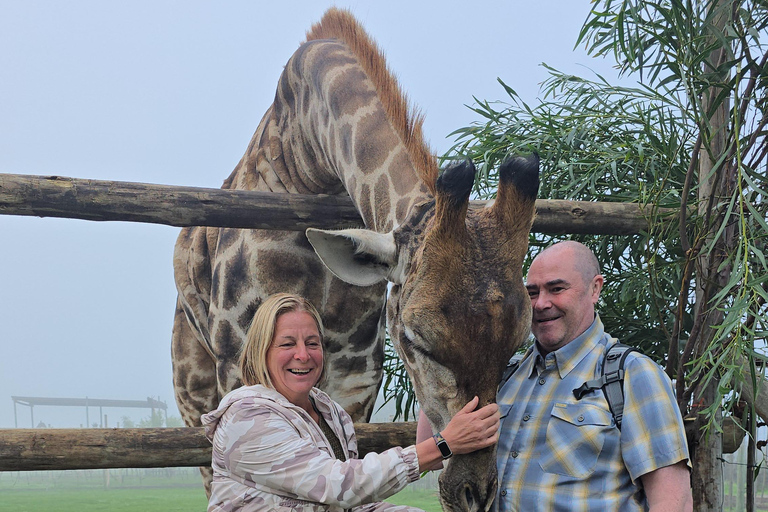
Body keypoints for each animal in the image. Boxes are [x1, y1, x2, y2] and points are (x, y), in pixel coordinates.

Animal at [171, 8, 539, 511]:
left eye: (516, 344)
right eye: (416, 340)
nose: (473, 493)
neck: (310, 163)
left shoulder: (355, 379)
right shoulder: (237, 368)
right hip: (195, 398)